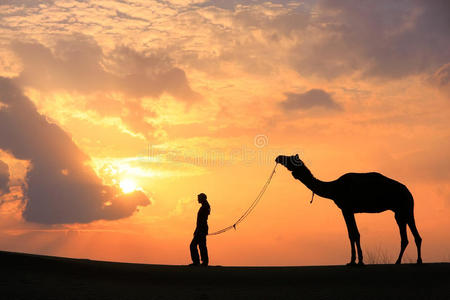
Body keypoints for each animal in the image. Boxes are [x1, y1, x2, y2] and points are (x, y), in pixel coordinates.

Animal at [274, 155, 422, 264]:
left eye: (289, 158)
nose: (278, 157)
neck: (334, 188)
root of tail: (409, 192)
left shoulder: (347, 208)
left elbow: (355, 234)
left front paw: (359, 261)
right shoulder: (346, 210)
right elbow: (351, 234)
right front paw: (352, 261)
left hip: (406, 207)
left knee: (412, 236)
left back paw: (414, 261)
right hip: (399, 212)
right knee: (407, 237)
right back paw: (404, 261)